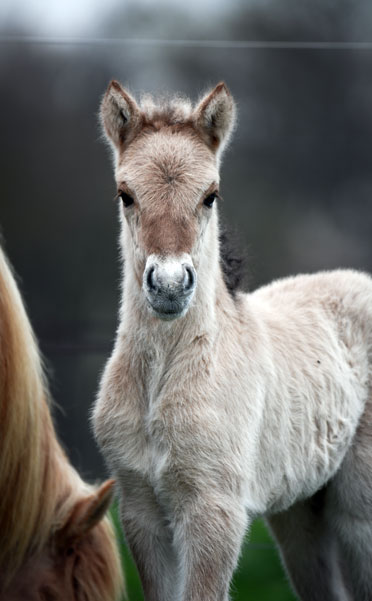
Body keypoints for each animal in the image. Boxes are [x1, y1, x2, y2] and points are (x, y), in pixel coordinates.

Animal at [93, 81, 372, 600]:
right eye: (125, 195)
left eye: (211, 195)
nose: (168, 285)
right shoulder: (140, 511)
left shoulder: (214, 512)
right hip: (299, 513)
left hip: (358, 510)